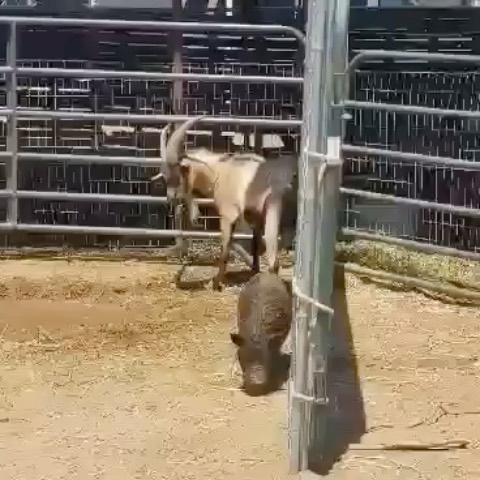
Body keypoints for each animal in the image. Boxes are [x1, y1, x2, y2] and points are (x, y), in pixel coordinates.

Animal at [154, 115, 296, 292]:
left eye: (176, 174)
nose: (171, 199)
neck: (218, 171)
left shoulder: (229, 215)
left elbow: (225, 249)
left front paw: (215, 284)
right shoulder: (253, 218)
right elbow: (254, 244)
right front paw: (253, 270)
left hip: (274, 211)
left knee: (273, 260)